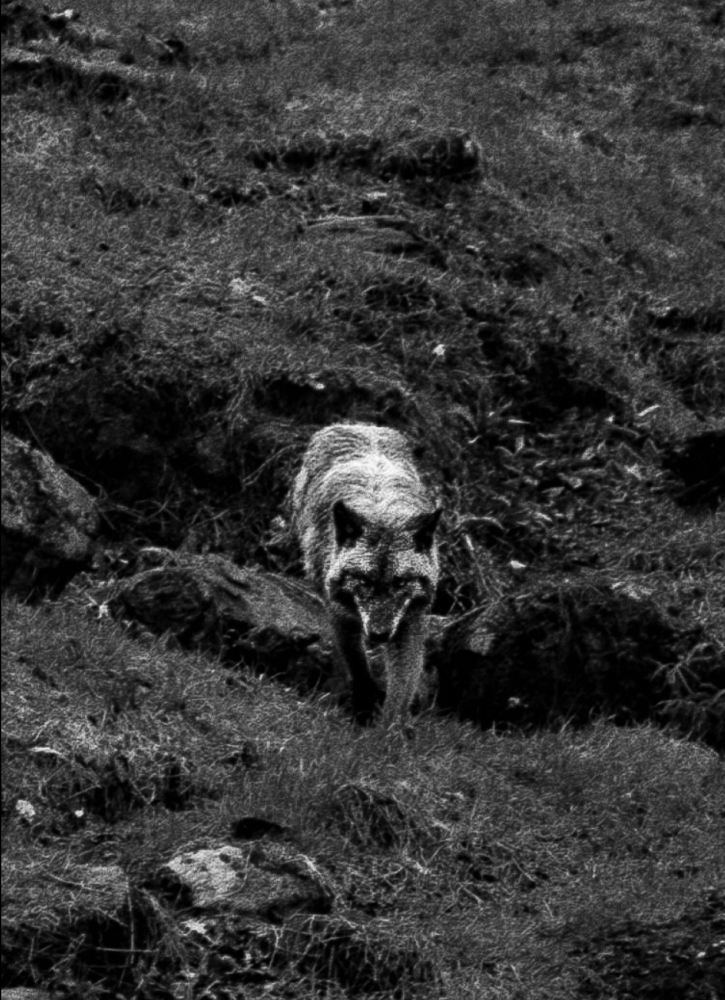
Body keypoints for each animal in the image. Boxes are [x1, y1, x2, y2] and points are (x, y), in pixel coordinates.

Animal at [292, 423, 441, 725]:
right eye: (364, 581)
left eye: (401, 582)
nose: (380, 634)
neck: (381, 510)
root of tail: (361, 425)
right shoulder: (341, 614)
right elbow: (358, 666)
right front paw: (364, 708)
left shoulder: (410, 621)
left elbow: (402, 687)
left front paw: (390, 729)